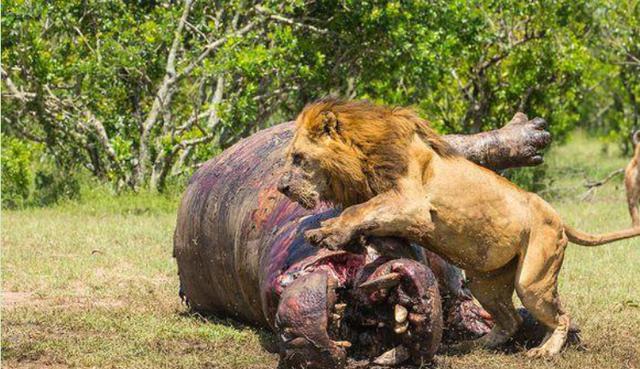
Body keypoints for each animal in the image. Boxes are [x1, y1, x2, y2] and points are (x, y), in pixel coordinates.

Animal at [276, 97, 640, 356]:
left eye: (298, 157)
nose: (281, 187)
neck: (361, 158)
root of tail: (558, 217)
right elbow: (365, 214)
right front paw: (335, 232)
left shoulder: (412, 203)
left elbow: (359, 208)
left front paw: (329, 232)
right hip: (485, 282)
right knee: (509, 322)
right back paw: (471, 346)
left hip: (533, 278)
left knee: (561, 316)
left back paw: (545, 351)